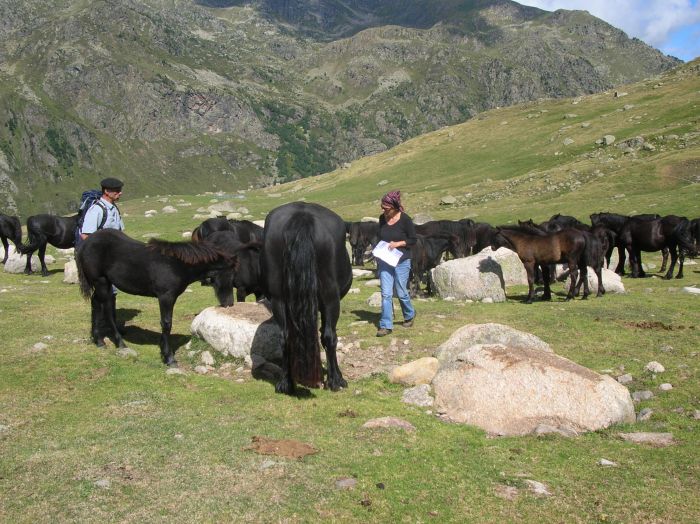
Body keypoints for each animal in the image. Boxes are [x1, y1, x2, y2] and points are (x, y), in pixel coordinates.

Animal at [77, 229, 238, 364]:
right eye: (228, 276)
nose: (229, 303)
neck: (177, 265)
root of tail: (86, 243)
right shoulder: (166, 296)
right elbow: (166, 323)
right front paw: (168, 357)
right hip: (101, 282)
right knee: (106, 309)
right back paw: (120, 343)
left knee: (95, 303)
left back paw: (99, 340)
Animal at [262, 203, 352, 396]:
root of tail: (301, 216)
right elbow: (327, 335)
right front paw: (336, 377)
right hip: (331, 299)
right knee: (329, 336)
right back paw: (335, 381)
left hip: (279, 300)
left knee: (285, 337)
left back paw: (286, 383)